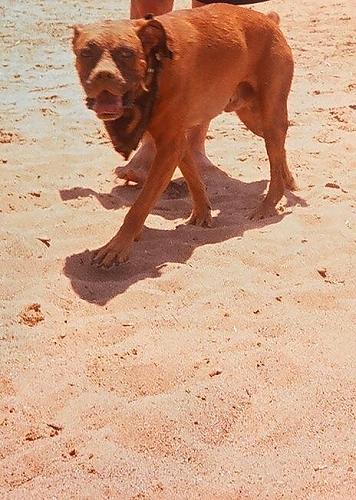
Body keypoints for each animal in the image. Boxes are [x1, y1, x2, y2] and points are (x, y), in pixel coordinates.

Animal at [71, 3, 294, 268]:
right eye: (86, 53)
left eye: (126, 53)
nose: (103, 75)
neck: (156, 62)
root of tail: (270, 20)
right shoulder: (178, 141)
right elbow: (193, 179)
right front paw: (202, 213)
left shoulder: (169, 147)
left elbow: (139, 206)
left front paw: (117, 246)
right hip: (252, 117)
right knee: (279, 149)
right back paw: (289, 181)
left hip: (269, 114)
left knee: (276, 154)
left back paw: (268, 205)